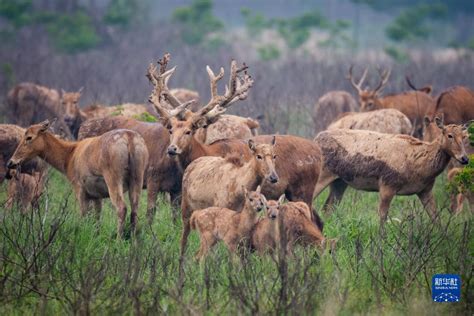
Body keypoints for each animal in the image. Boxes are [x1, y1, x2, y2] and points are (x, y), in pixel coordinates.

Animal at [6, 119, 148, 236]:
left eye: (29, 137)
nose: (10, 162)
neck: (68, 159)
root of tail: (130, 139)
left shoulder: (79, 187)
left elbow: (83, 215)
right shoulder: (97, 194)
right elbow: (97, 217)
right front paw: (95, 236)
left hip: (113, 176)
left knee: (121, 207)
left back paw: (118, 240)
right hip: (138, 175)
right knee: (135, 209)